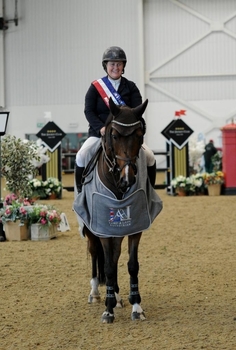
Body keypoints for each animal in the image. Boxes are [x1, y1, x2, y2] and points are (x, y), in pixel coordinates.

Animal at [74, 98, 162, 322]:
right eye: (114, 135)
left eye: (139, 135)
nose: (127, 178)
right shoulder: (103, 228)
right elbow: (107, 266)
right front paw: (108, 309)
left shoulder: (134, 226)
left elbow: (131, 264)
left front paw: (136, 306)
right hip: (90, 228)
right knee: (96, 254)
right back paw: (96, 293)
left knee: (114, 257)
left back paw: (118, 296)